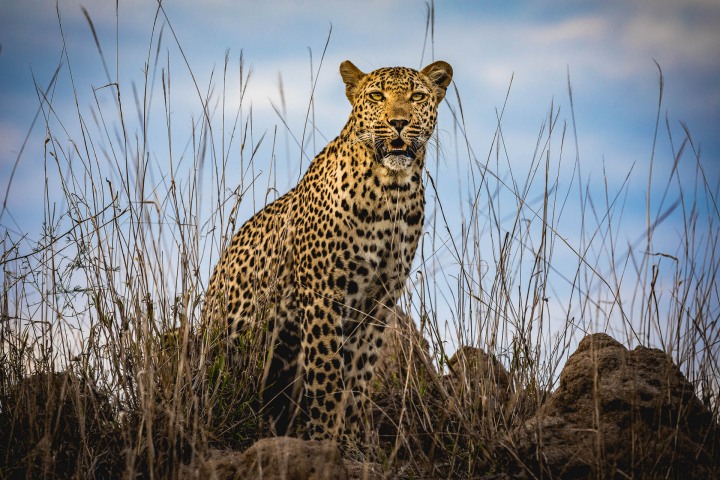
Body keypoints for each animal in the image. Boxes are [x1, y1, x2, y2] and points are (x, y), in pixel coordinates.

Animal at [202, 59, 453, 451]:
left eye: (417, 96)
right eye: (376, 96)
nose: (398, 122)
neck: (391, 190)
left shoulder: (380, 301)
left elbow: (359, 376)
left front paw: (354, 440)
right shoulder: (322, 292)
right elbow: (327, 373)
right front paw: (323, 440)